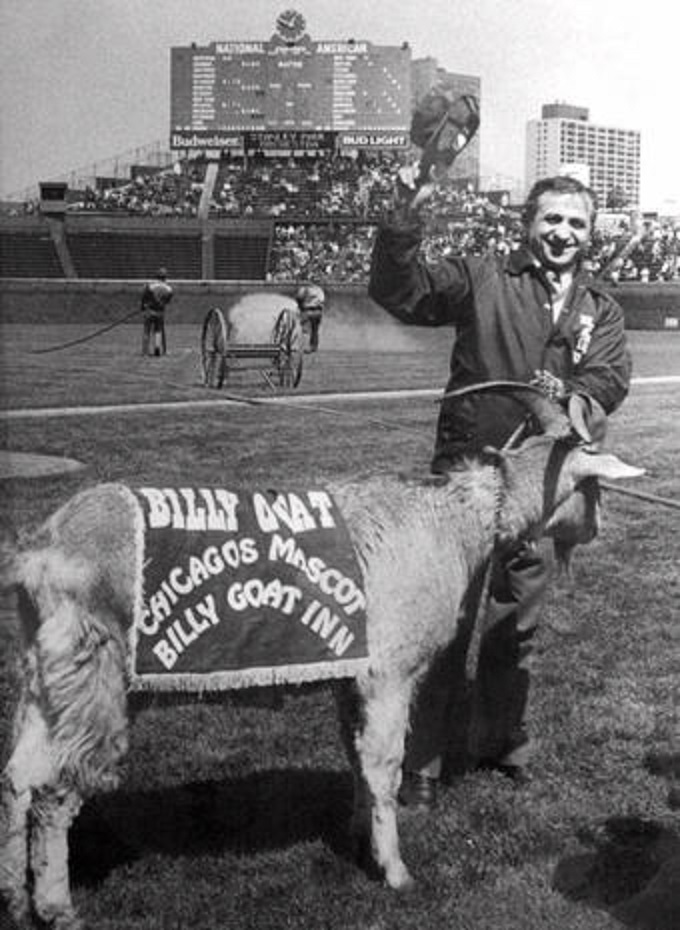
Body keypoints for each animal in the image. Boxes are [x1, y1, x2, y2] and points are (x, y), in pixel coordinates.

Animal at [0, 380, 644, 924]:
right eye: (595, 484)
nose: (599, 526)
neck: (451, 519)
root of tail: (41, 550)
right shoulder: (389, 672)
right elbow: (383, 764)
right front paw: (396, 871)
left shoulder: (349, 674)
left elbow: (356, 757)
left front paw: (361, 838)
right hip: (95, 674)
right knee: (55, 791)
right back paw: (57, 907)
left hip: (47, 672)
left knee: (17, 777)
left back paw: (14, 896)